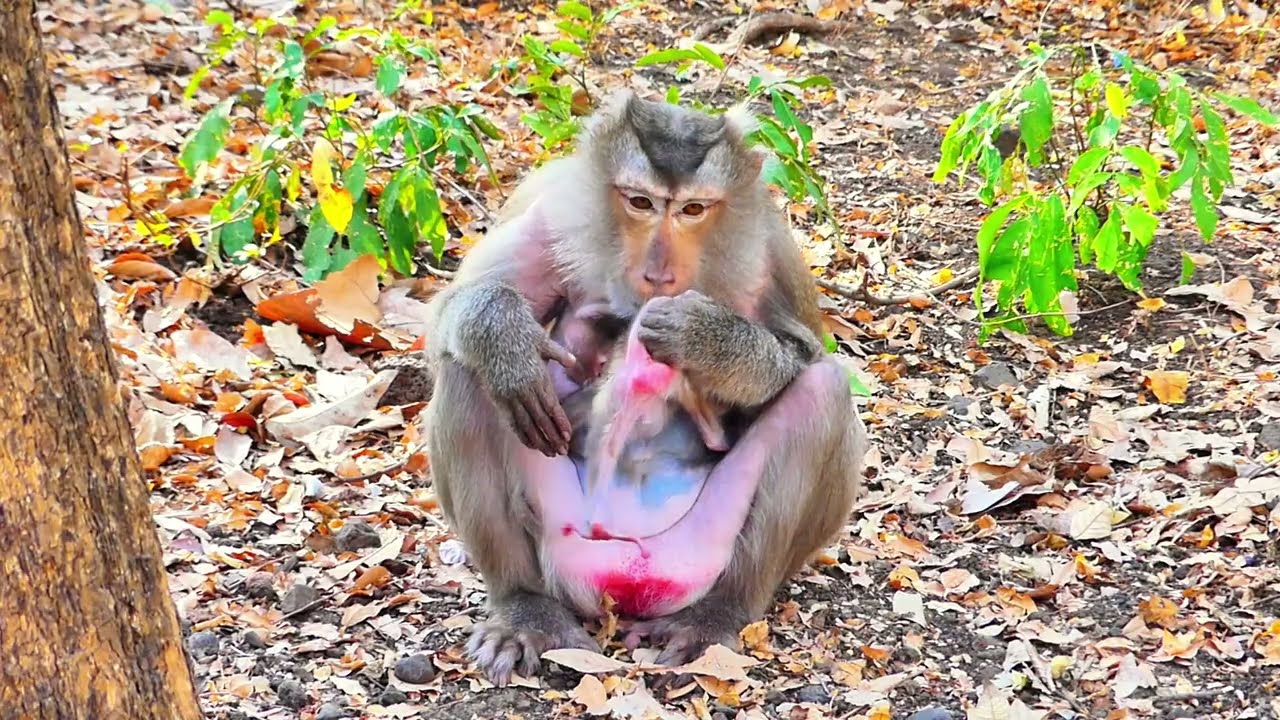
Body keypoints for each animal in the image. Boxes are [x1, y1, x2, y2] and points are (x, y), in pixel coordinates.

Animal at [420, 90, 866, 686]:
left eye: (693, 210)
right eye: (640, 202)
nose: (658, 274)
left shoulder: (773, 248)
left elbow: (803, 357)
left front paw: (704, 338)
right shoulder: (545, 207)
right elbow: (447, 319)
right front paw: (505, 337)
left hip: (699, 550)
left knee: (824, 392)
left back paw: (717, 616)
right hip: (562, 547)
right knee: (468, 375)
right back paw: (524, 609)